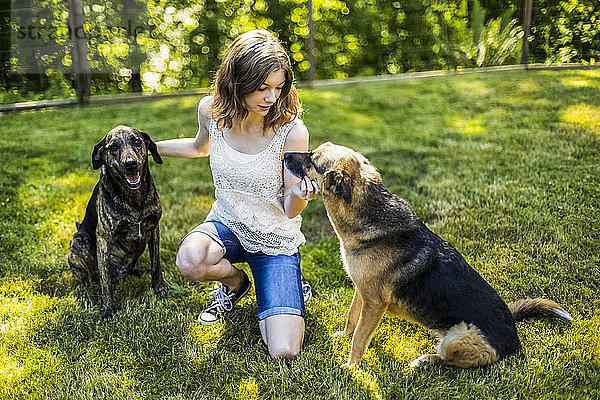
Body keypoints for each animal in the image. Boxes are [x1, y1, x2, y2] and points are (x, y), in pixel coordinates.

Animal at [69, 125, 170, 318]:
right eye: (114, 147)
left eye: (136, 141)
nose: (130, 163)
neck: (134, 198)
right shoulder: (103, 237)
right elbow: (105, 279)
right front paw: (108, 308)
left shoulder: (154, 229)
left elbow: (156, 264)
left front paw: (160, 288)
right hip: (79, 241)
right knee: (92, 277)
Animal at [284, 142, 572, 368]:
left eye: (311, 159)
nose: (284, 154)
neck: (369, 217)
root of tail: (513, 335)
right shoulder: (362, 292)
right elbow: (352, 319)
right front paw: (343, 336)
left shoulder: (374, 303)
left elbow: (360, 338)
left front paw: (352, 366)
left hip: (457, 337)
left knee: (448, 359)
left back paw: (424, 360)